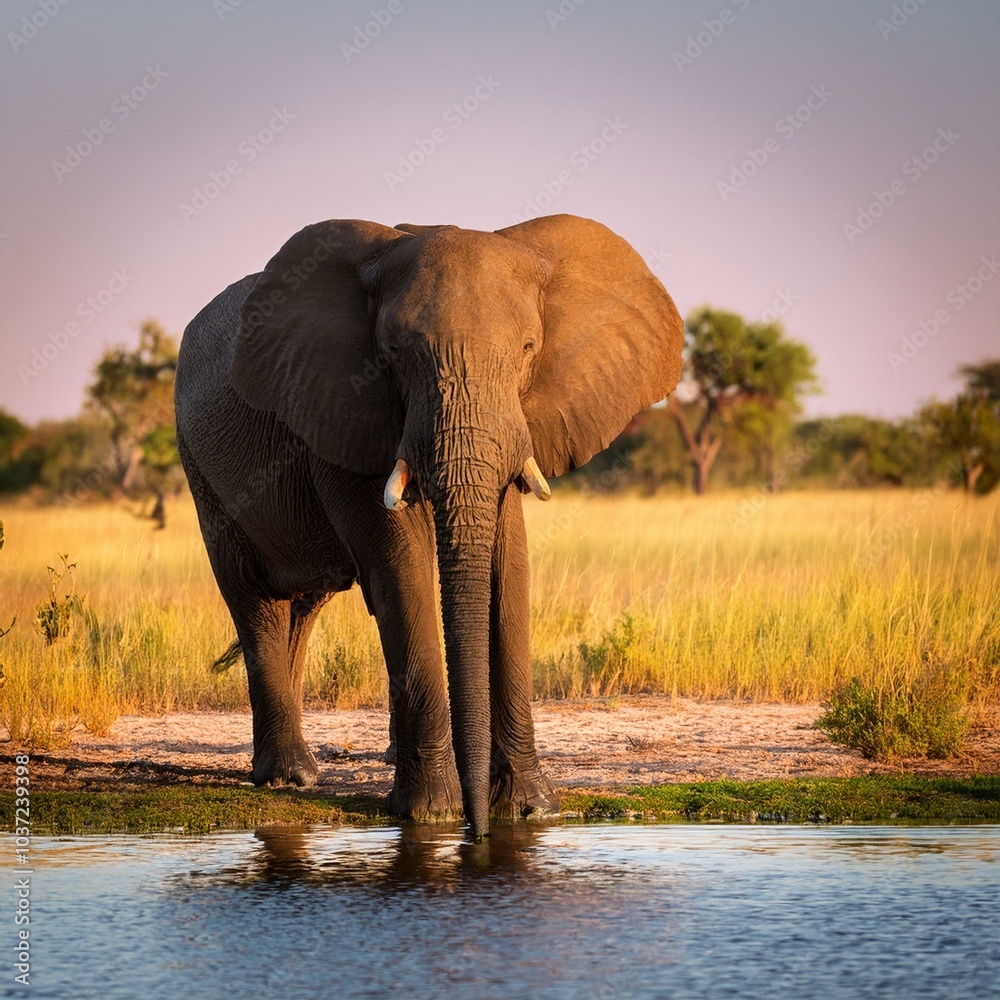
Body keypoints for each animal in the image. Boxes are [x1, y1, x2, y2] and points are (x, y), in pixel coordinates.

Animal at [174, 213, 683, 839]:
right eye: (393, 353)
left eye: (528, 348)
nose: (478, 830)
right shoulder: (345, 409)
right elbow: (402, 565)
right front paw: (433, 814)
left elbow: (508, 561)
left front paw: (529, 810)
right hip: (202, 468)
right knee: (257, 599)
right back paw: (288, 779)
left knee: (302, 606)